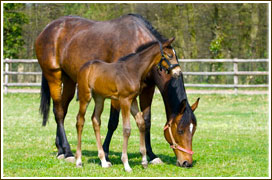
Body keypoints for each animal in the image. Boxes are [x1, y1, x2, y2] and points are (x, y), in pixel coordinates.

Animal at [75, 37, 175, 172]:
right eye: (170, 55)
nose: (178, 72)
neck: (133, 70)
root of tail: (84, 67)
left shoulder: (132, 100)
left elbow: (141, 123)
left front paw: (144, 161)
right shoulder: (124, 100)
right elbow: (126, 129)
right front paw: (126, 164)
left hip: (99, 98)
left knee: (95, 120)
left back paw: (103, 161)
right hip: (85, 97)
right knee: (80, 121)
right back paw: (79, 161)